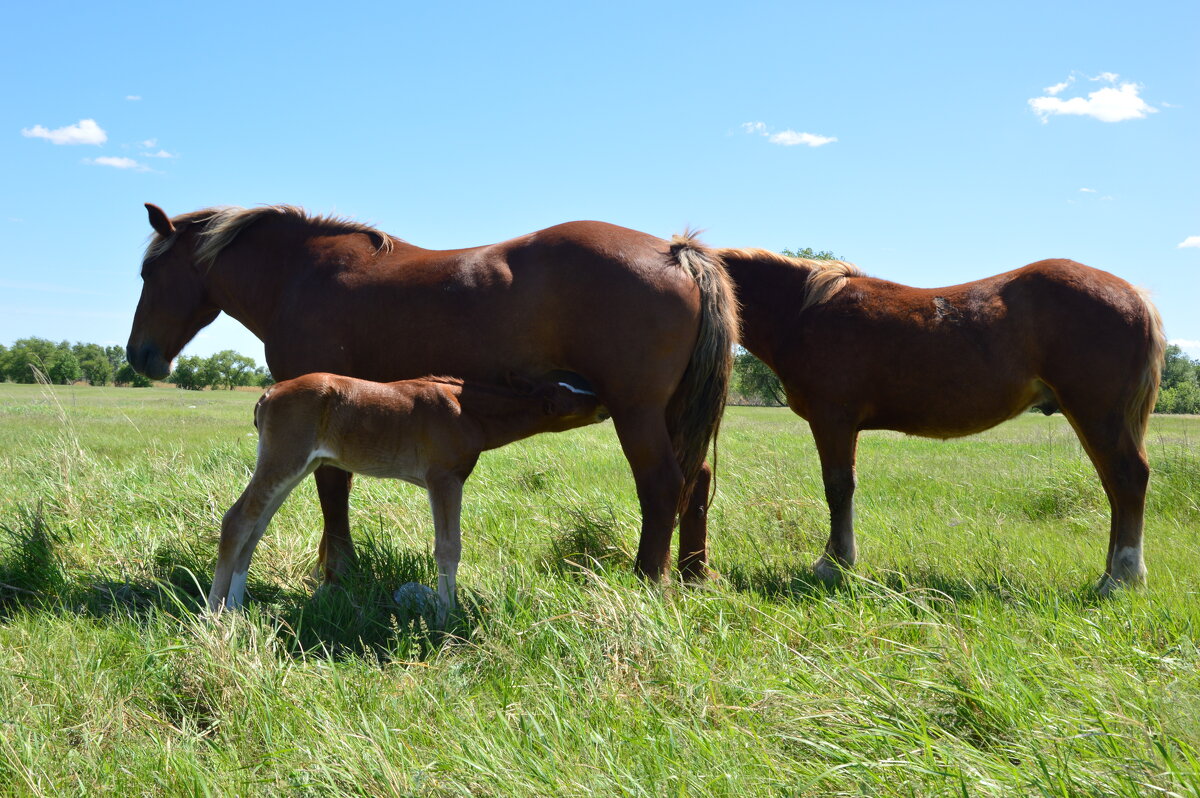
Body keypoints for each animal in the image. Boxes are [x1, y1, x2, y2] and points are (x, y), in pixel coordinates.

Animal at [126, 202, 734, 583]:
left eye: (149, 274)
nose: (139, 354)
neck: (301, 275)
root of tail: (675, 252)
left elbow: (333, 488)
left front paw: (337, 570)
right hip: (673, 414)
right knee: (697, 480)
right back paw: (693, 574)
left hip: (637, 412)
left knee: (662, 486)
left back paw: (647, 580)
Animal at [207, 374, 604, 614]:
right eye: (570, 396)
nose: (601, 398)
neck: (467, 410)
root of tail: (268, 393)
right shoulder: (444, 479)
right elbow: (448, 548)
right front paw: (447, 615)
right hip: (284, 460)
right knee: (237, 520)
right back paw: (215, 612)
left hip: (298, 465)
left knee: (256, 526)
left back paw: (235, 606)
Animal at [691, 249, 1166, 590]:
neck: (804, 313)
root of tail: (1134, 295)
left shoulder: (832, 419)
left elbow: (838, 488)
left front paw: (834, 565)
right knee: (1115, 487)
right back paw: (1110, 573)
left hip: (1097, 415)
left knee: (1128, 479)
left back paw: (1123, 578)